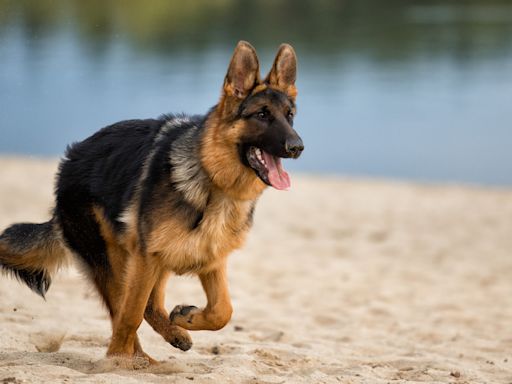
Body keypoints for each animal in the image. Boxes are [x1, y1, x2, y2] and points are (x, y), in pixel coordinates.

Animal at [0, 42, 304, 364]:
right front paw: (118, 362)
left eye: (290, 115)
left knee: (150, 305)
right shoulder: (147, 259)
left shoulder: (209, 259)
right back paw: (133, 359)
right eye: (262, 114)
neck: (212, 181)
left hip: (153, 260)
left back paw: (168, 338)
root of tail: (70, 160)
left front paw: (187, 317)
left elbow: (222, 311)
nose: (297, 147)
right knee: (124, 310)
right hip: (116, 263)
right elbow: (130, 315)